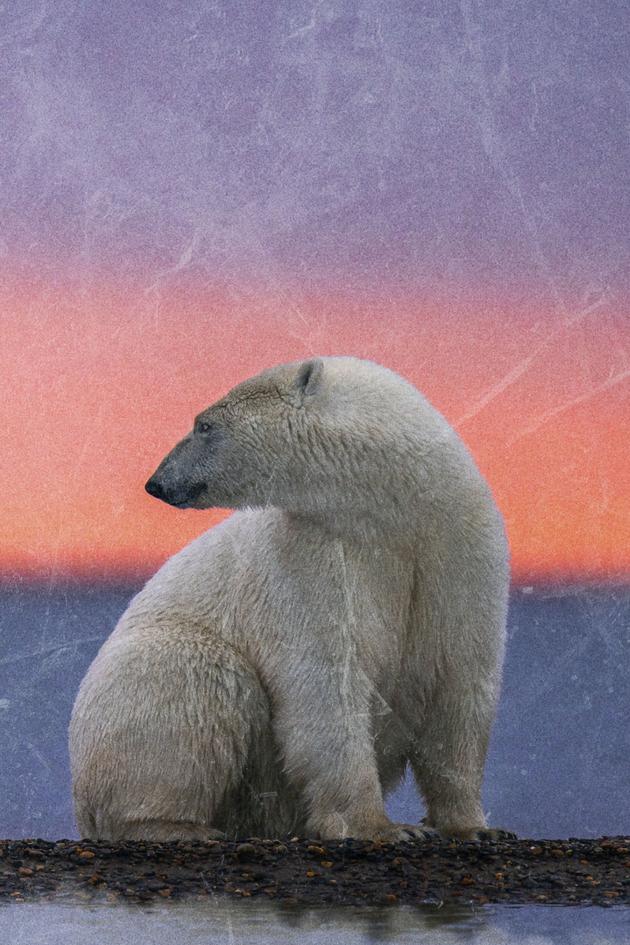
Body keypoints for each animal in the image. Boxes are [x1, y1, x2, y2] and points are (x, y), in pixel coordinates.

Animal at [69, 355, 512, 843]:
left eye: (204, 425)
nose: (157, 482)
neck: (393, 512)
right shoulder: (314, 559)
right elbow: (327, 682)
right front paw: (380, 827)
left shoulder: (456, 551)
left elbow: (459, 686)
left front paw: (475, 827)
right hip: (148, 673)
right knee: (197, 680)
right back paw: (176, 825)